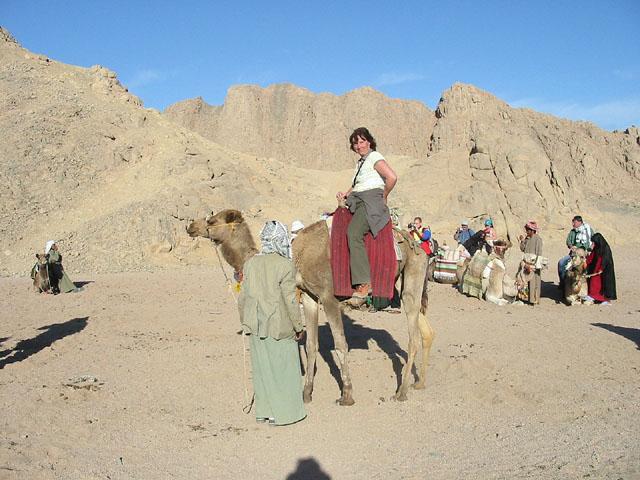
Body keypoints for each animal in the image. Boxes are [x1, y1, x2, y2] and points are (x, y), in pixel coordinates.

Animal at [186, 209, 434, 404]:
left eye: (212, 220)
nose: (190, 226)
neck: (296, 258)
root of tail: (416, 244)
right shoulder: (309, 296)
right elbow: (311, 345)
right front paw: (306, 393)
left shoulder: (329, 297)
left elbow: (340, 344)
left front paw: (346, 395)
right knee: (424, 331)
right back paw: (419, 383)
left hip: (413, 273)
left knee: (412, 337)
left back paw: (401, 392)